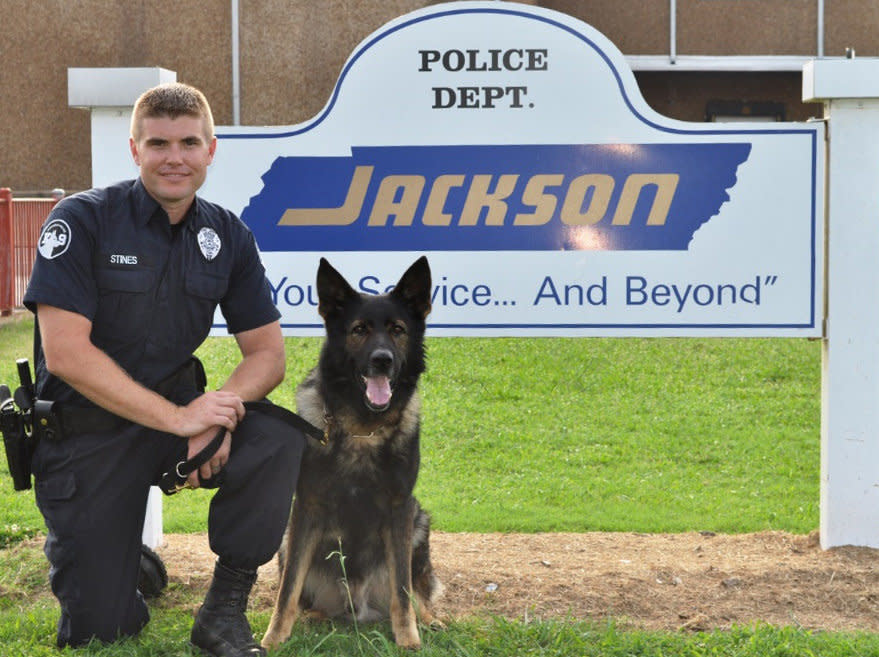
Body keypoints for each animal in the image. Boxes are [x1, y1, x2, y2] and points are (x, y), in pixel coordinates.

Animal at [260, 256, 440, 652]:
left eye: (398, 330)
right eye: (359, 330)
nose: (382, 360)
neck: (363, 428)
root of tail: (356, 606)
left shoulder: (400, 507)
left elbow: (403, 590)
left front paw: (408, 638)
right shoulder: (307, 507)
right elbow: (287, 588)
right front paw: (273, 639)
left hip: (418, 521)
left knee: (413, 590)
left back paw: (430, 619)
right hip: (286, 536)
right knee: (302, 593)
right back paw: (311, 617)